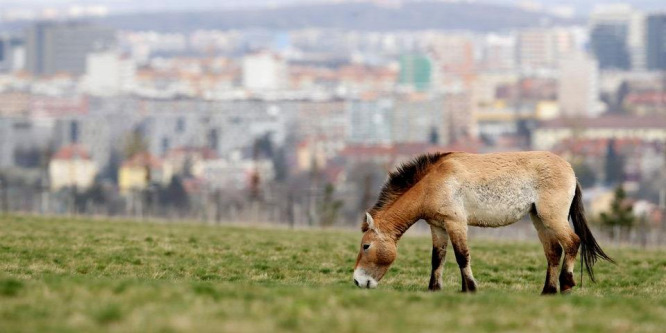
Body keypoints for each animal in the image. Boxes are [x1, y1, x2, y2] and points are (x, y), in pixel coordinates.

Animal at [352, 150, 612, 294]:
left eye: (366, 246)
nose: (357, 281)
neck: (432, 183)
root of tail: (571, 171)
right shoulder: (437, 226)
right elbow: (438, 258)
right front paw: (434, 289)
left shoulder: (456, 223)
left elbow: (461, 256)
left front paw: (470, 288)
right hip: (539, 219)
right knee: (553, 252)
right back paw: (548, 292)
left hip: (552, 218)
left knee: (572, 243)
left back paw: (566, 285)